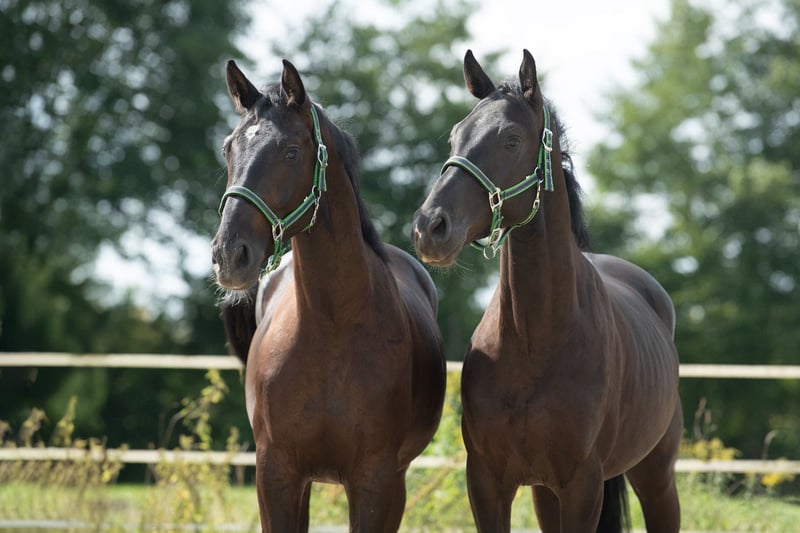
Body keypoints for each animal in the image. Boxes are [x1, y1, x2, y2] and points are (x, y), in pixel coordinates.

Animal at [211, 59, 446, 532]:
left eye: (290, 151)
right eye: (228, 149)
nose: (229, 254)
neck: (330, 328)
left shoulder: (375, 479)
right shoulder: (277, 474)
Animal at [412, 49, 683, 533]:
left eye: (511, 140)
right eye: (456, 137)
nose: (430, 226)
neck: (533, 339)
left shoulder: (581, 486)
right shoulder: (488, 481)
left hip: (656, 476)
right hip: (544, 492)